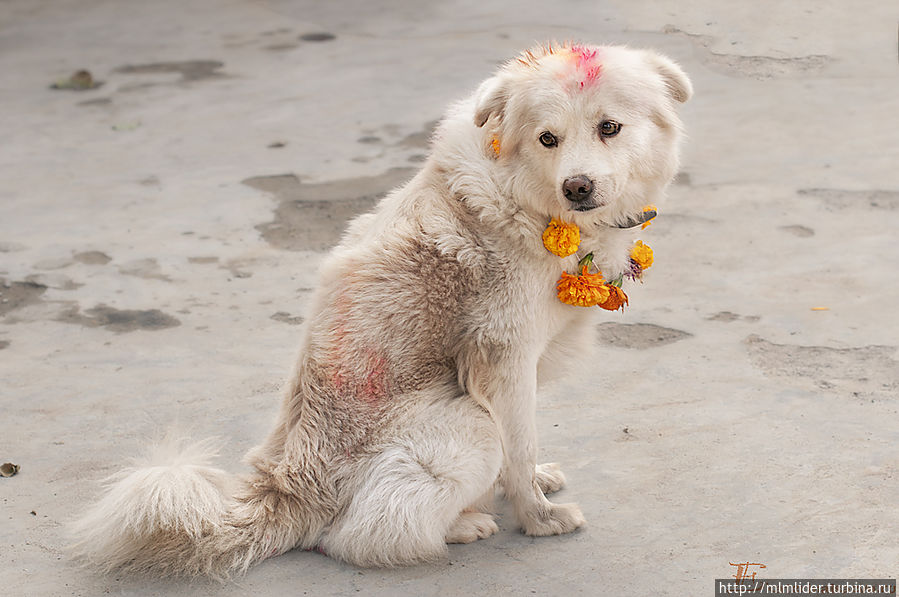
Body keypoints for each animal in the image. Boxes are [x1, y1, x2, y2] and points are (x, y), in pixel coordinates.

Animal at [74, 40, 692, 572]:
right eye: (548, 138)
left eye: (609, 127)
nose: (577, 187)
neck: (529, 202)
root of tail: (287, 488)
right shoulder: (504, 359)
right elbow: (518, 446)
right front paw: (539, 517)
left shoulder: (520, 369)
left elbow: (526, 443)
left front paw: (538, 480)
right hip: (467, 426)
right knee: (358, 537)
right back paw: (461, 526)